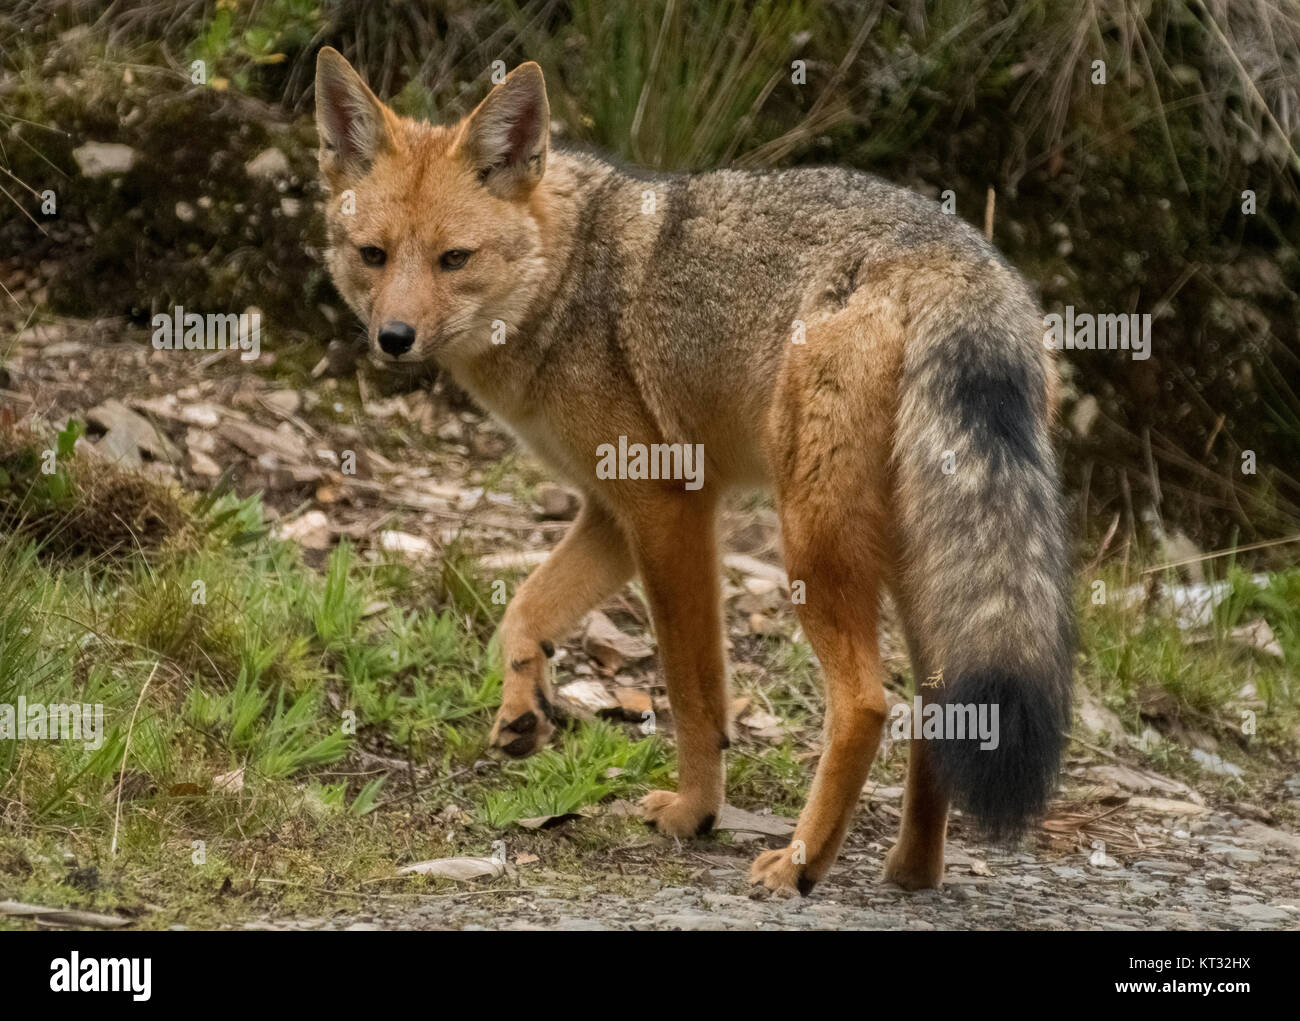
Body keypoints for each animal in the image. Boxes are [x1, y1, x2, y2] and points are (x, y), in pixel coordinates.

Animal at [309, 49, 1071, 894]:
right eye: (373, 255)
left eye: (454, 259)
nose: (394, 338)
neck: (567, 279)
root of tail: (955, 262)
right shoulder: (610, 511)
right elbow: (525, 609)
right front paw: (523, 707)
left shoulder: (669, 506)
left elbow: (693, 689)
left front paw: (695, 813)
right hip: (915, 566)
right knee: (940, 707)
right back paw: (912, 868)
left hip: (812, 548)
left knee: (870, 705)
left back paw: (799, 863)